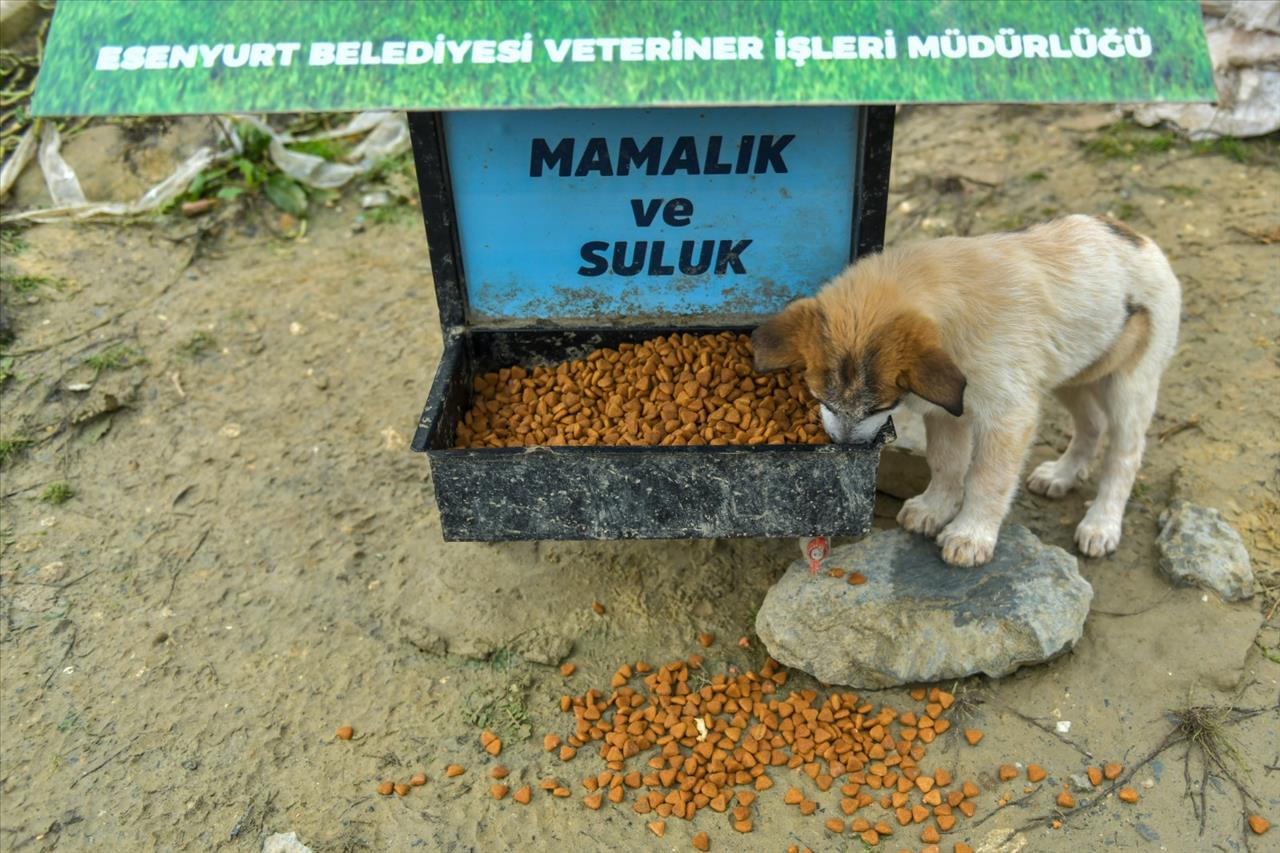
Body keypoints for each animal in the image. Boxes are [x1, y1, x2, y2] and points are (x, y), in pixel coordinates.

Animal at [752, 213, 1182, 563]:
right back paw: (1062, 474)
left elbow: (986, 477)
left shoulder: (1009, 417)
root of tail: (1141, 238)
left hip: (1130, 385)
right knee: (1092, 423)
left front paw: (971, 535)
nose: (845, 448)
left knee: (1124, 455)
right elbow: (946, 463)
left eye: (878, 408)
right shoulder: (946, 411)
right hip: (1073, 372)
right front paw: (934, 508)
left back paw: (1102, 523)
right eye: (821, 399)